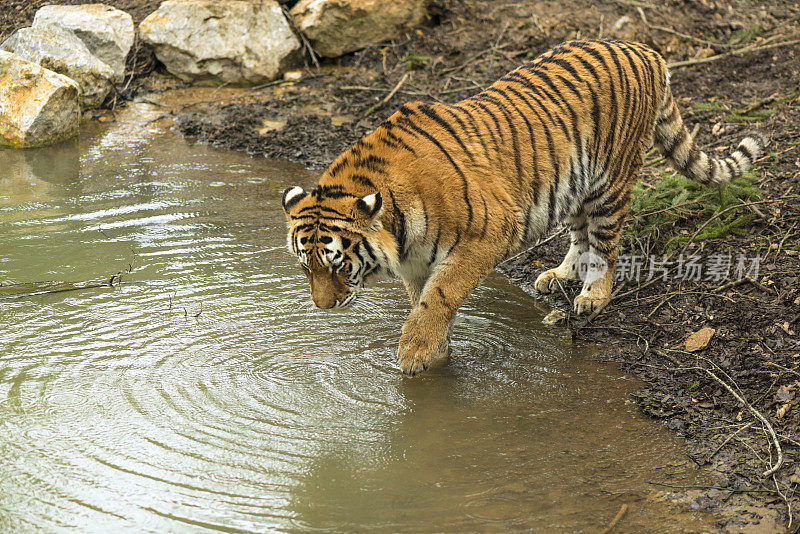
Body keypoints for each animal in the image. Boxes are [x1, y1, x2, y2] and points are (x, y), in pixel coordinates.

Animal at [280, 38, 764, 376]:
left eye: (338, 264)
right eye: (306, 267)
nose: (323, 307)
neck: (399, 228)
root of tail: (645, 50)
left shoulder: (485, 235)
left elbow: (440, 296)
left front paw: (416, 353)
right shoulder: (417, 261)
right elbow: (422, 301)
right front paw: (436, 354)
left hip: (611, 181)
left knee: (606, 247)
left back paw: (592, 295)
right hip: (572, 182)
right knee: (580, 234)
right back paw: (561, 275)